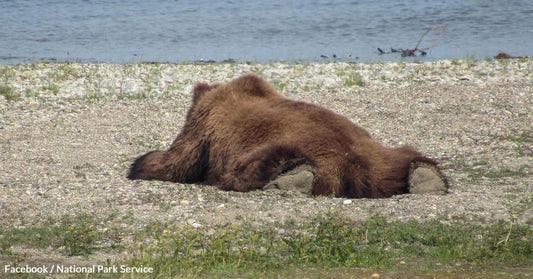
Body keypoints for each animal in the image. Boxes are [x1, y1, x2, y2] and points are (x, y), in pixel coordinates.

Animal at [127, 73, 446, 198]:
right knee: (403, 155)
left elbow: (175, 162)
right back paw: (426, 176)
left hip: (288, 147)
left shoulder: (203, 126)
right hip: (378, 151)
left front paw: (139, 163)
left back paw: (292, 179)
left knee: (249, 167)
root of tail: (358, 168)